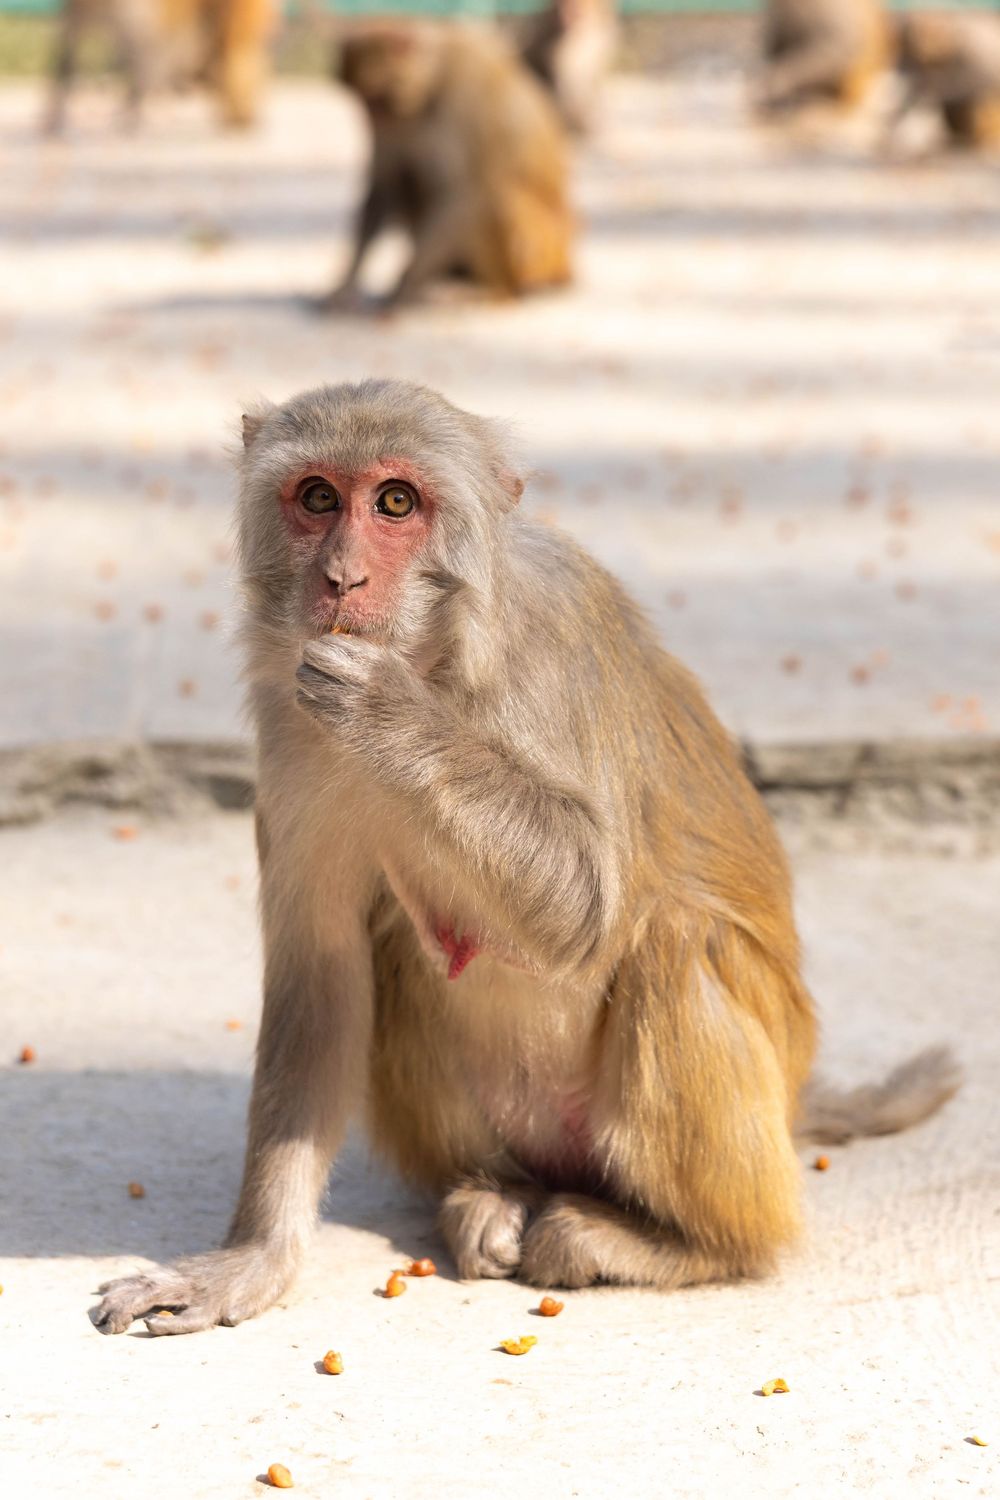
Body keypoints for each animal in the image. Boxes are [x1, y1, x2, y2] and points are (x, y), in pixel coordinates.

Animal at [91, 379, 960, 1336]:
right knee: (399, 950)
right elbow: (320, 973)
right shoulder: (291, 729)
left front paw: (389, 715)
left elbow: (593, 908)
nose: (341, 577)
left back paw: (689, 1245)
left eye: (396, 503)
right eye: (318, 497)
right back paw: (494, 1193)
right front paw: (252, 1263)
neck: (436, 656)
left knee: (672, 942)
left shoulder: (554, 644)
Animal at [326, 24, 573, 310]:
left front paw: (403, 288)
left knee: (492, 194)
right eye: (363, 101)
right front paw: (346, 285)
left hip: (540, 256)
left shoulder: (463, 100)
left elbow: (462, 192)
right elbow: (384, 186)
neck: (431, 82)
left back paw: (493, 290)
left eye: (376, 101)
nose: (370, 118)